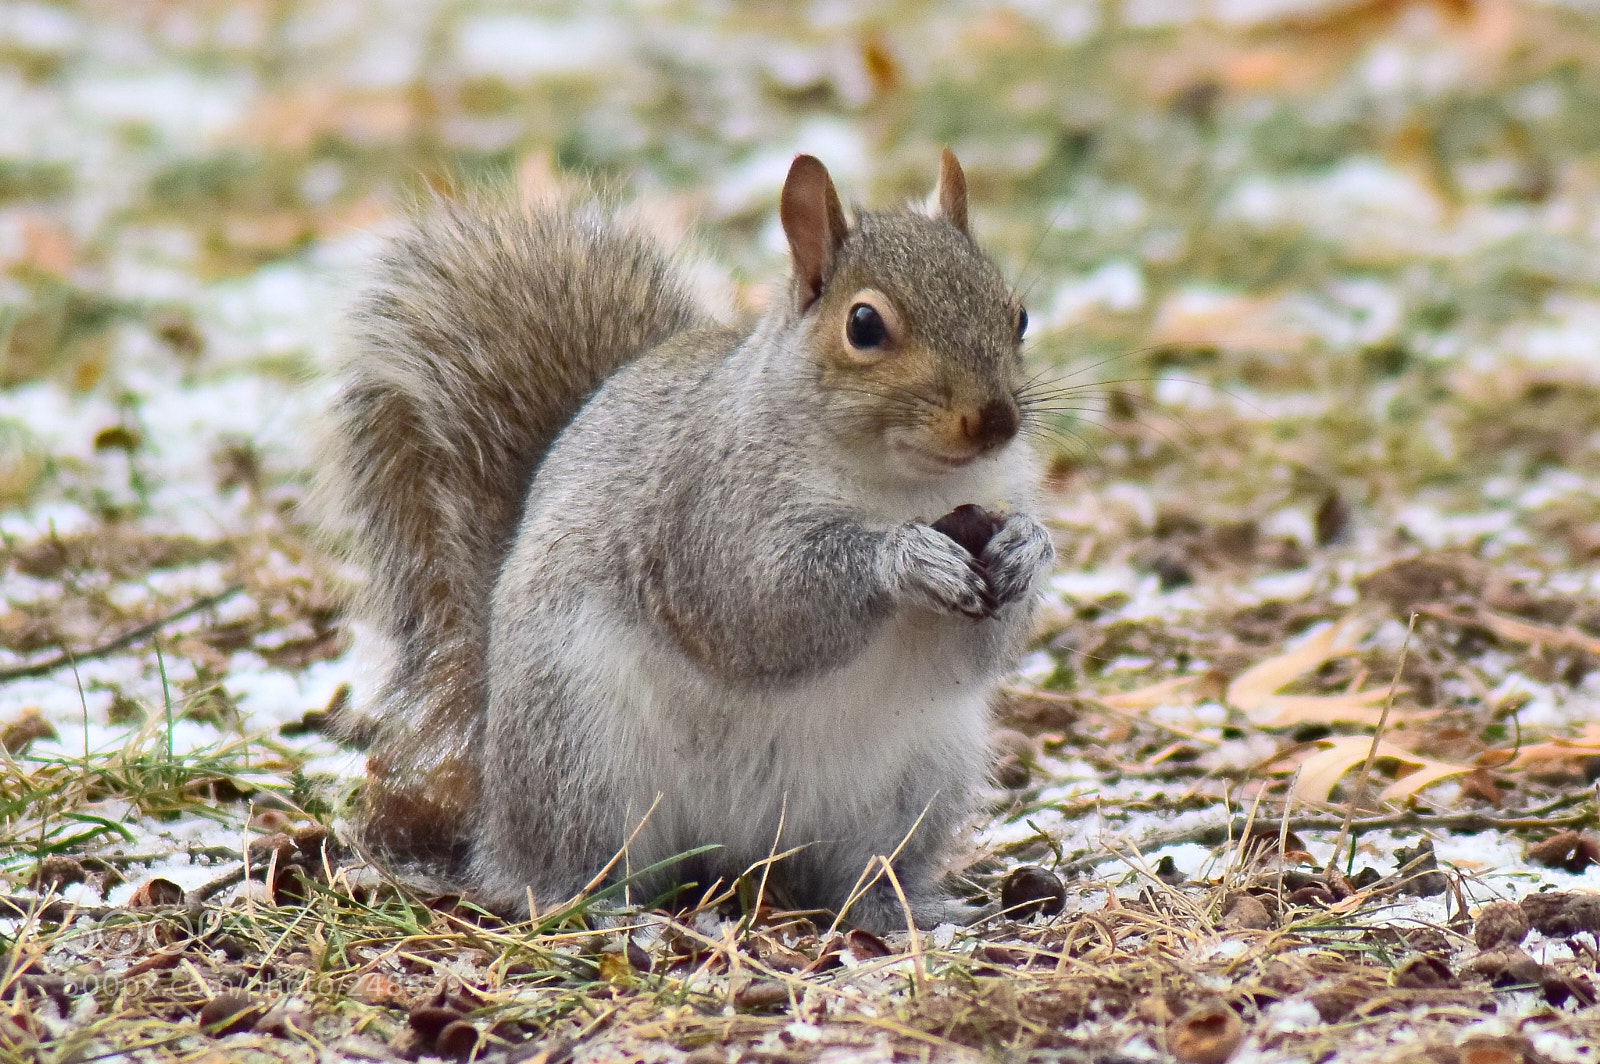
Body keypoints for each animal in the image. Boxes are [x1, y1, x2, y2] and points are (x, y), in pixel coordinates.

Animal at [317, 151, 1054, 933]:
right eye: (864, 325)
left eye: (1017, 314)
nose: (997, 421)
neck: (903, 487)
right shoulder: (707, 515)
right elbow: (758, 607)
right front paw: (906, 559)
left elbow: (983, 650)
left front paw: (1028, 548)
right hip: (579, 755)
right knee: (569, 867)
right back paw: (609, 910)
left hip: (917, 784)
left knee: (855, 873)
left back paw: (904, 908)